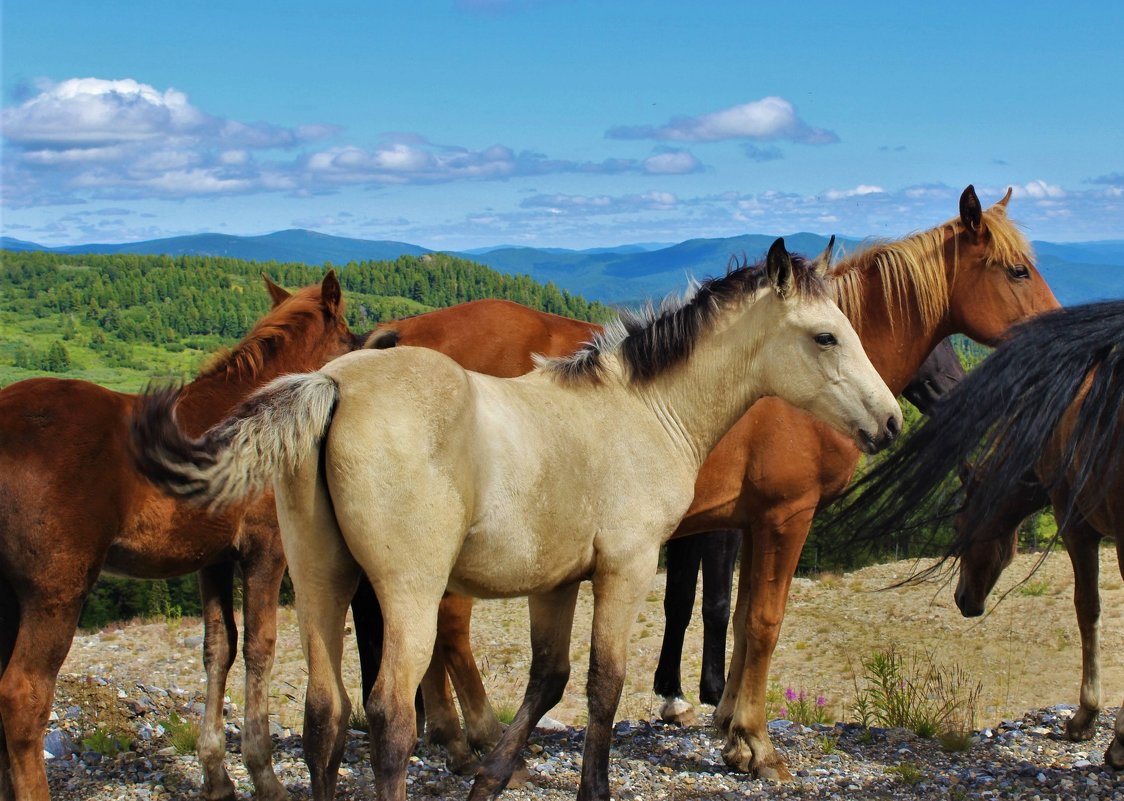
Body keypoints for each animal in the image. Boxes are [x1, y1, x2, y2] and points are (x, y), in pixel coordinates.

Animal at [131, 239, 903, 799]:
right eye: (826, 336)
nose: (891, 421)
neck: (642, 409)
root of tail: (331, 384)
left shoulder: (555, 581)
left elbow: (548, 679)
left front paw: (493, 778)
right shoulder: (624, 568)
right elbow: (603, 685)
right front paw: (592, 787)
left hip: (322, 581)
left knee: (326, 713)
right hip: (408, 592)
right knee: (389, 715)